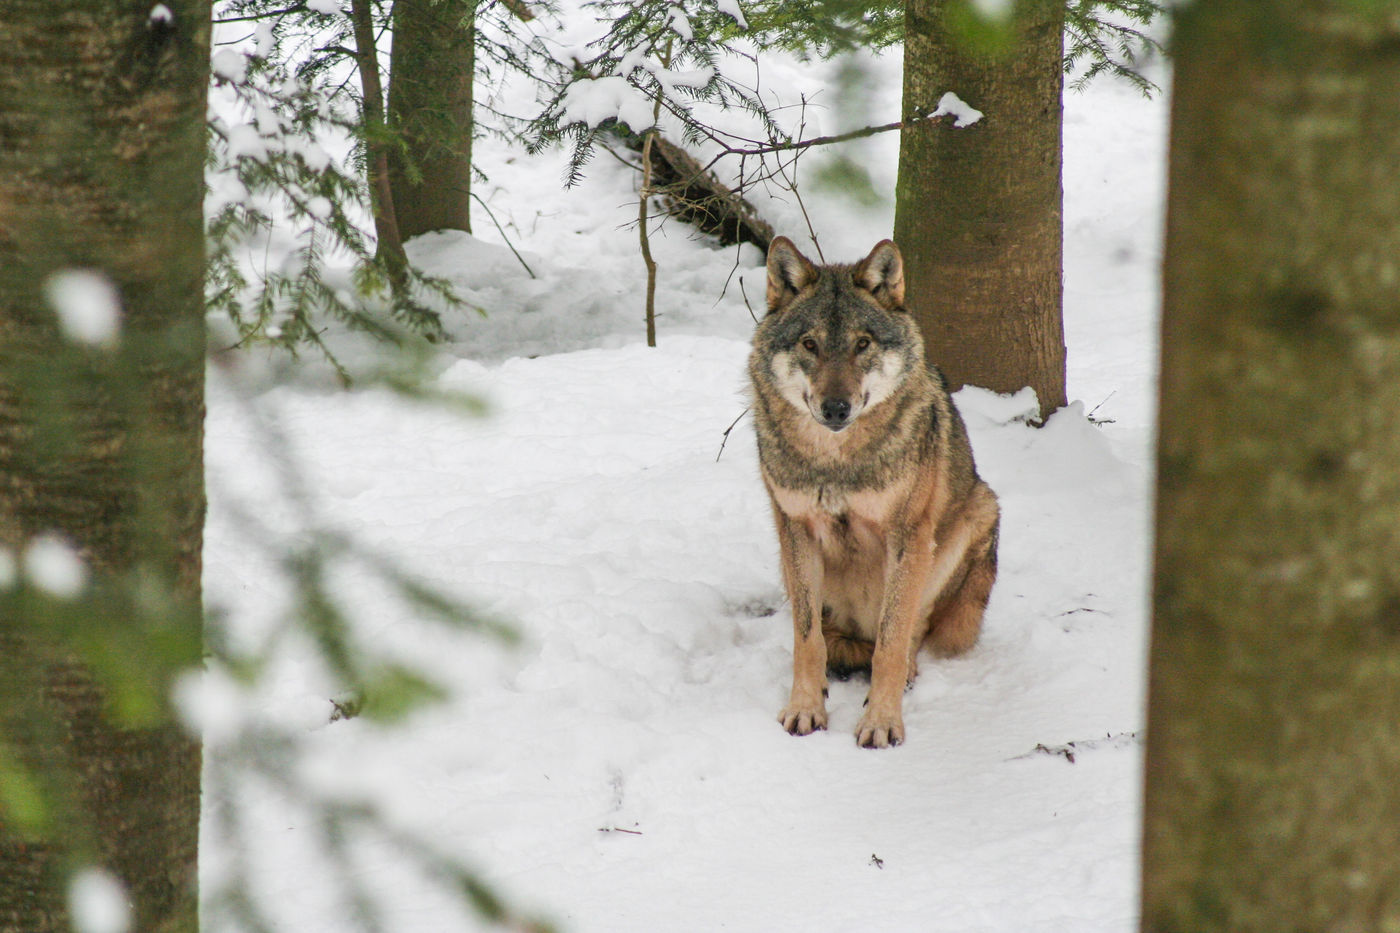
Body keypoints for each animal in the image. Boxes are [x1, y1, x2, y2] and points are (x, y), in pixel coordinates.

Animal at [750, 233, 1002, 750]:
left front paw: (882, 721)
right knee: (833, 636)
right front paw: (805, 708)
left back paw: (906, 671)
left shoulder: (907, 536)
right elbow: (806, 639)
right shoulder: (796, 528)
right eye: (810, 344)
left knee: (912, 630)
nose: (835, 407)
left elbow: (891, 638)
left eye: (862, 344)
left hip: (975, 515)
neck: (836, 462)